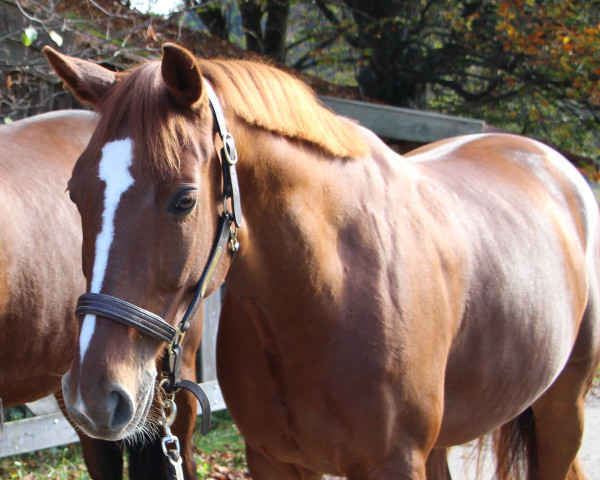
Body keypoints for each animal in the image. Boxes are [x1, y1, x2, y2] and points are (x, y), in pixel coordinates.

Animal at [44, 43, 600, 478]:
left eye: (184, 199)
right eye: (75, 193)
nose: (92, 396)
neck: (322, 298)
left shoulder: (393, 463)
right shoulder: (273, 460)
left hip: (563, 407)